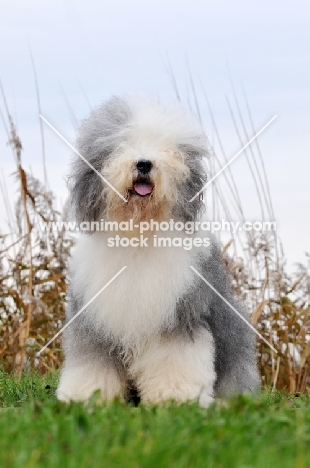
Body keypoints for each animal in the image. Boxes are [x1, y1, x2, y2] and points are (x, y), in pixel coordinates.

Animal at [57, 94, 260, 406]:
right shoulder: (94, 320)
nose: (144, 163)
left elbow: (174, 358)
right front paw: (84, 396)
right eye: (122, 143)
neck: (139, 234)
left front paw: (177, 398)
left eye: (168, 148)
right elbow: (92, 362)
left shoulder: (179, 314)